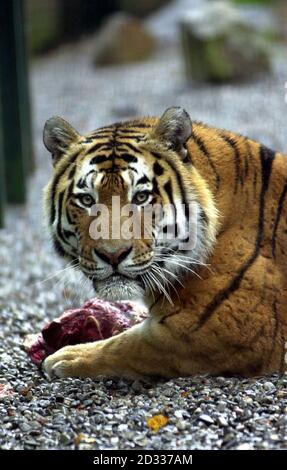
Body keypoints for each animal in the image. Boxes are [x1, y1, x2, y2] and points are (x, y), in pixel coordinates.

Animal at [42, 105, 287, 378]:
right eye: (86, 200)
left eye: (141, 197)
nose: (113, 255)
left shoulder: (221, 328)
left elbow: (126, 345)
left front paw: (67, 357)